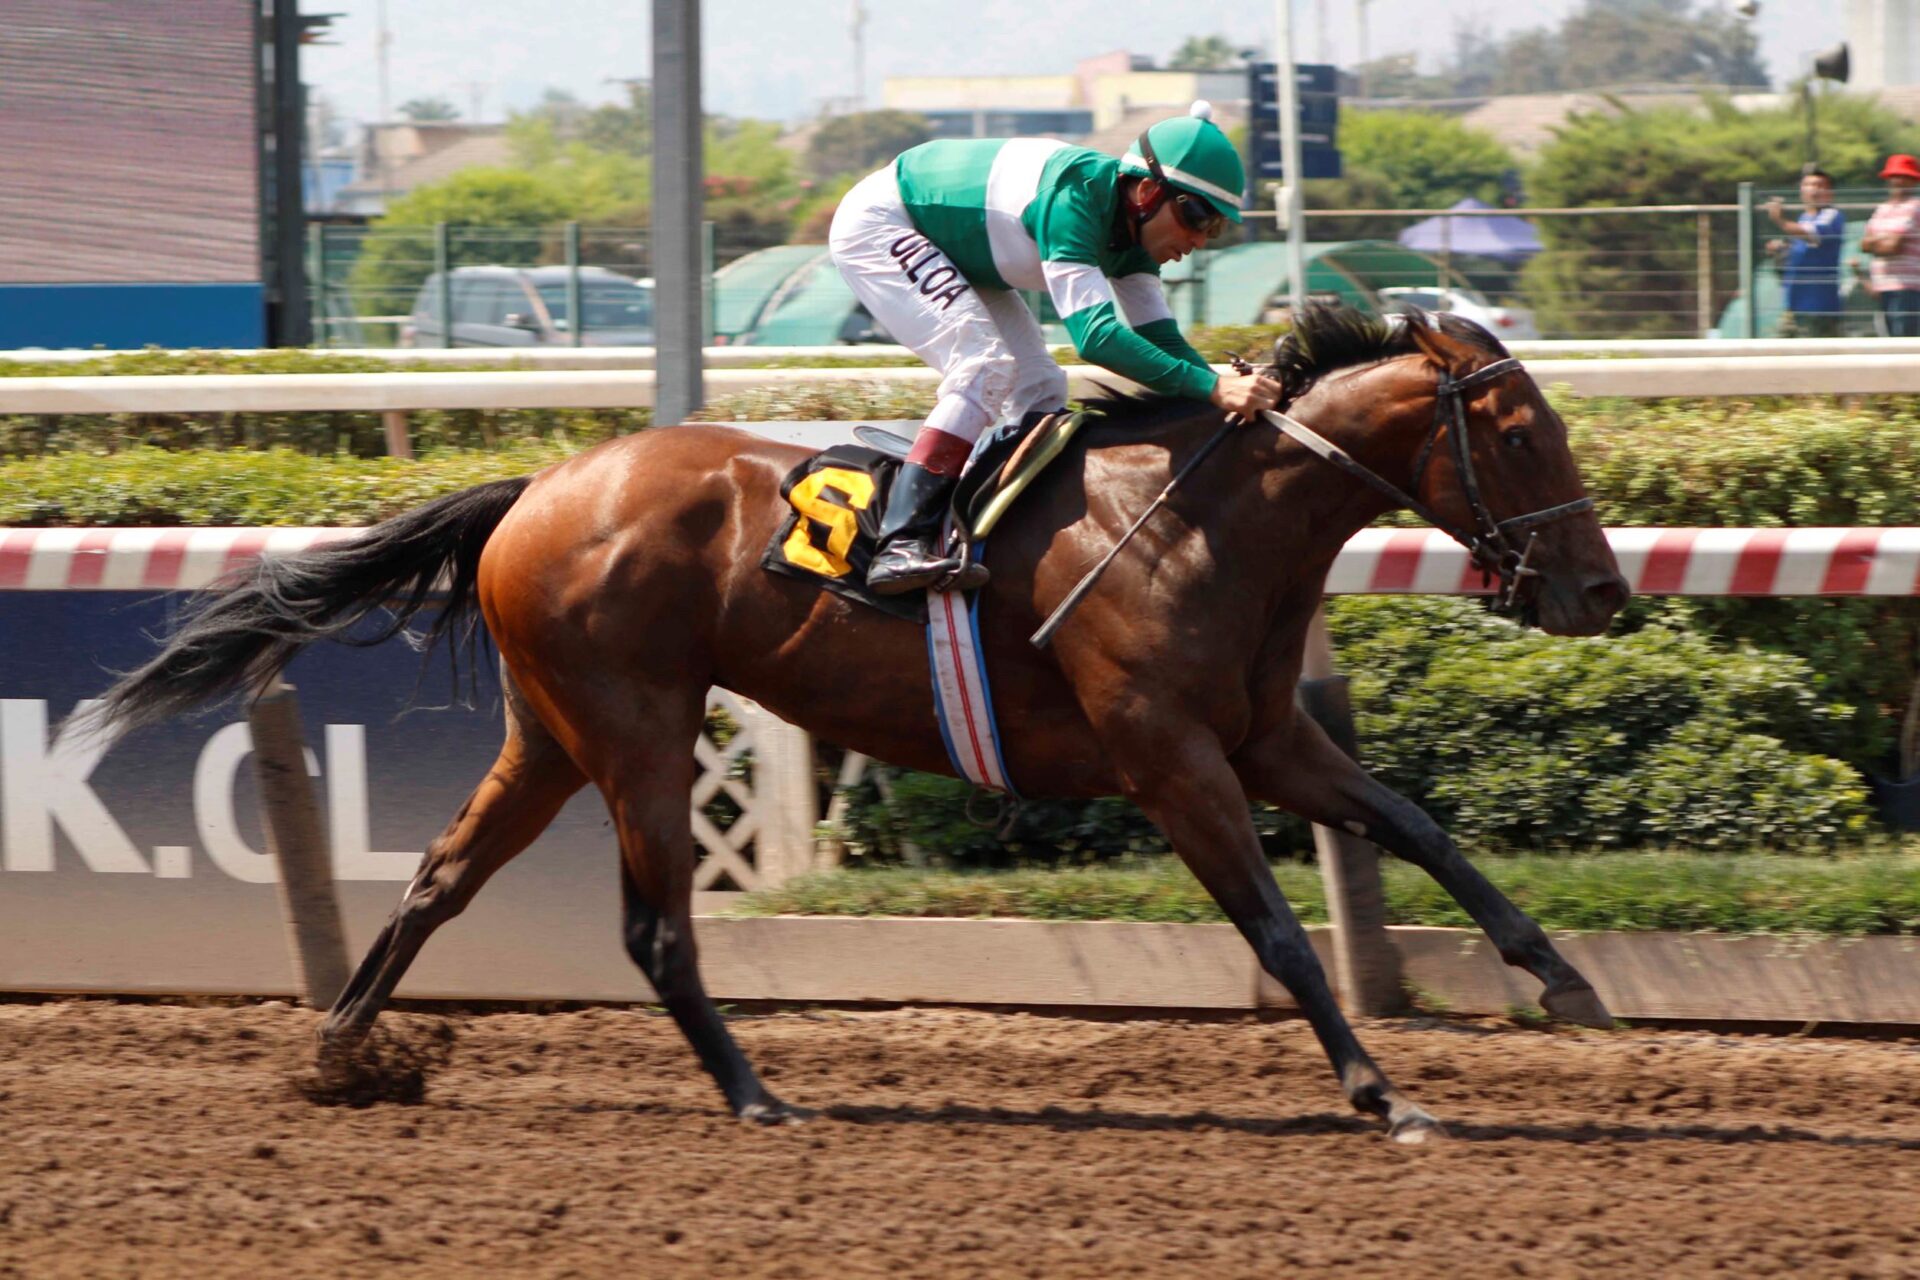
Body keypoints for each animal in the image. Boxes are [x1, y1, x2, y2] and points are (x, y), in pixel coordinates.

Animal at [82, 305, 1629, 1143]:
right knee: (653, 929)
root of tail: (538, 487)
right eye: (1519, 429)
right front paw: (1384, 1091)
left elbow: (1420, 826)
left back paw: (346, 1055)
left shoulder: (1265, 741)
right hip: (637, 730)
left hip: (551, 732)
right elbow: (1281, 932)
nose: (1602, 590)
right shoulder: (1172, 760)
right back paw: (759, 1097)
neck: (1201, 526)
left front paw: (1564, 980)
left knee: (439, 877)